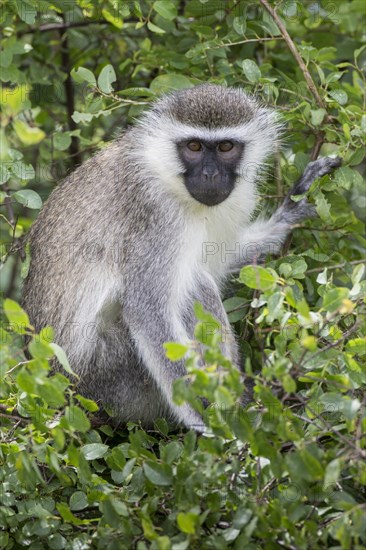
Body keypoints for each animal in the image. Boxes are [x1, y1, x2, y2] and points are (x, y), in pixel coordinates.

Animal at [22, 84, 340, 434]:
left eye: (226, 147)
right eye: (194, 146)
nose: (211, 174)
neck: (164, 171)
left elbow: (215, 260)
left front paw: (286, 216)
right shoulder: (157, 216)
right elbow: (147, 310)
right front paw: (214, 423)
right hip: (110, 381)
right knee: (194, 288)